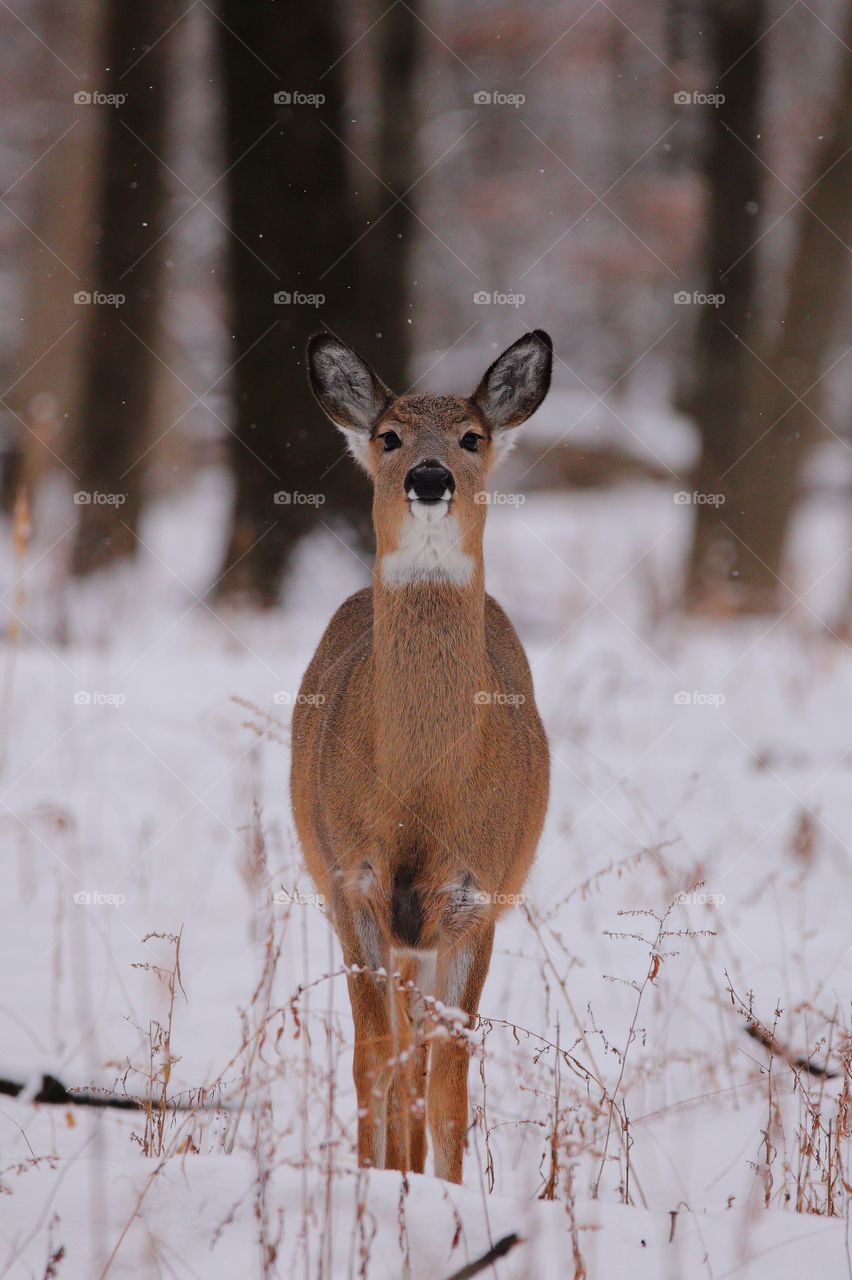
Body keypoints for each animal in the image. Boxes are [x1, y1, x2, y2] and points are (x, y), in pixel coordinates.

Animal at [290, 330, 552, 1183]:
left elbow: (450, 1081)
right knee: (389, 1050)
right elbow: (374, 1057)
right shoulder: (353, 880)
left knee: (422, 1057)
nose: (429, 478)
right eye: (388, 436)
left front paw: (447, 1192)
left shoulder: (476, 896)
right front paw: (376, 1184)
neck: (420, 793)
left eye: (471, 438)